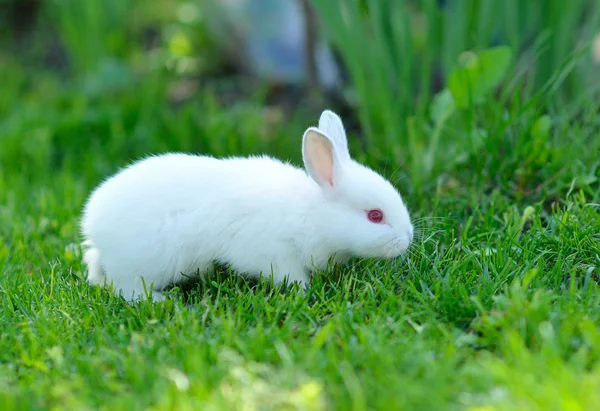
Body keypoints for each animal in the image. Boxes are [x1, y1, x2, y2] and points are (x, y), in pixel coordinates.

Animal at [79, 109, 412, 302]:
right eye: (375, 216)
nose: (407, 240)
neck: (311, 214)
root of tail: (92, 223)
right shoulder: (276, 253)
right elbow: (290, 276)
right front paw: (304, 291)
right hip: (143, 265)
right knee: (125, 288)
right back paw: (161, 301)